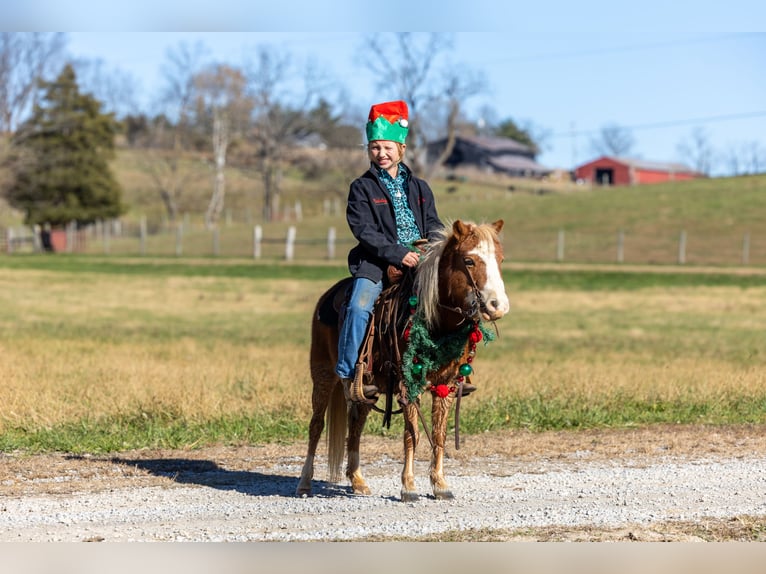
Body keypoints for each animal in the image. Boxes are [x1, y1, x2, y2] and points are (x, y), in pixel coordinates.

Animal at [296, 219, 509, 501]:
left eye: (500, 259)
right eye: (469, 261)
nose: (498, 306)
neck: (436, 321)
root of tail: (327, 296)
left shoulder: (447, 385)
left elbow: (439, 434)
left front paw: (440, 483)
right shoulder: (409, 384)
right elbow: (412, 434)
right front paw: (408, 486)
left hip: (367, 388)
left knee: (356, 425)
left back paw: (358, 481)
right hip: (323, 374)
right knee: (316, 425)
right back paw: (304, 483)